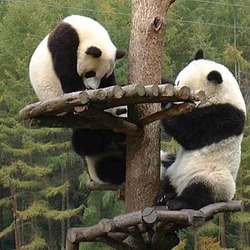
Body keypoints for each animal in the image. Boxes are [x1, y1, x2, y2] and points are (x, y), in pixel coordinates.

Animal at [28, 14, 127, 186]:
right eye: (90, 73)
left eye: (103, 75)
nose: (92, 88)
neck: (83, 29)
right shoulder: (65, 42)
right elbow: (67, 73)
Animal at [156, 49, 246, 210]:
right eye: (177, 83)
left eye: (187, 93)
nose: (176, 102)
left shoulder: (224, 117)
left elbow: (191, 133)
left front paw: (169, 110)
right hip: (174, 170)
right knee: (168, 177)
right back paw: (165, 195)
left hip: (214, 176)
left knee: (202, 189)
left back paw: (179, 201)